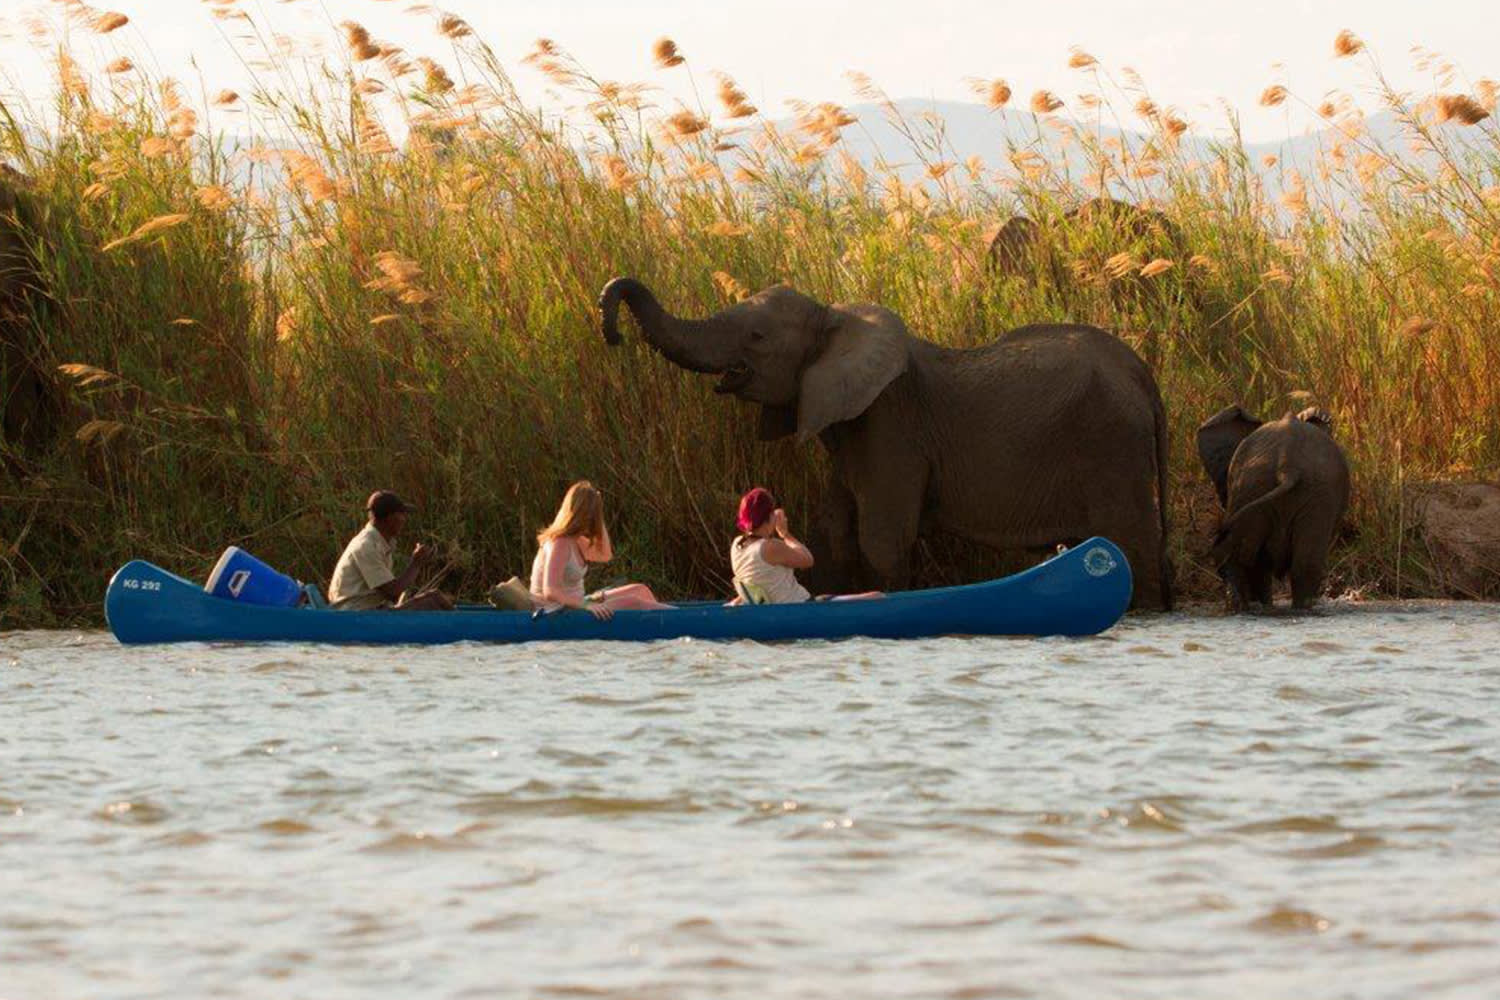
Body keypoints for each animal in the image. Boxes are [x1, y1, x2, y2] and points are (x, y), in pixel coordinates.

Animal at [597, 275, 1170, 611]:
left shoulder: (890, 425)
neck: (835, 318)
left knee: (1132, 541)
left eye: (757, 337)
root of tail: (1144, 375)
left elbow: (880, 537)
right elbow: (833, 534)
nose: (612, 333)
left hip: (1110, 442)